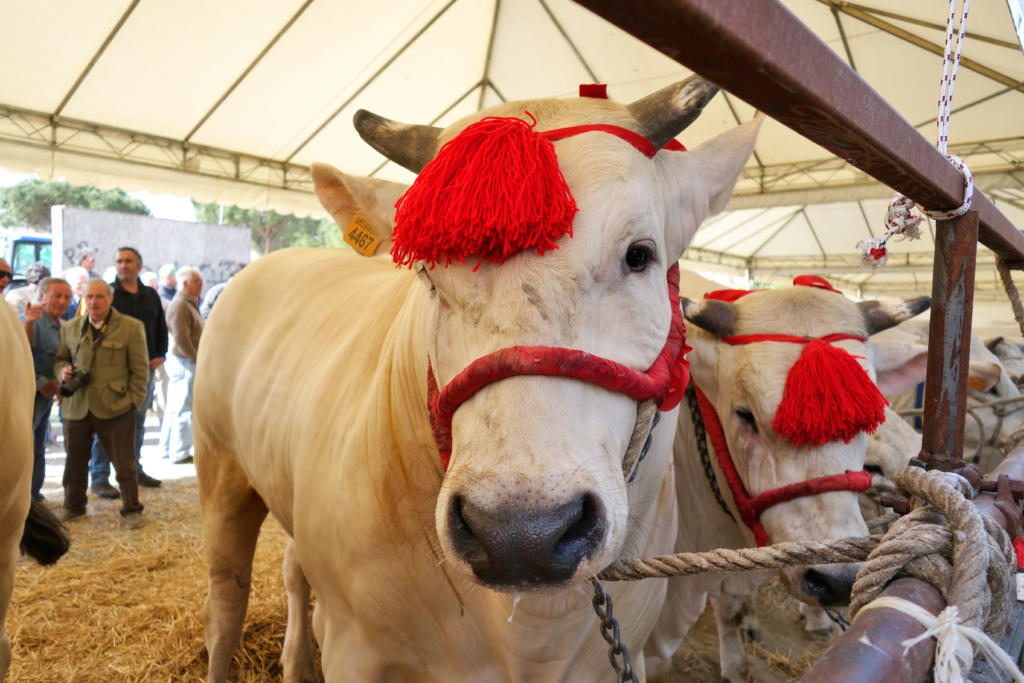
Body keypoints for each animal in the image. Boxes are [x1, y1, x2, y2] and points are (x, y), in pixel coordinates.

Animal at [197, 76, 761, 683]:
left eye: (640, 255)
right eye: (426, 270)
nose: (520, 535)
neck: (535, 633)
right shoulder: (355, 646)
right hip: (219, 465)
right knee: (226, 596)